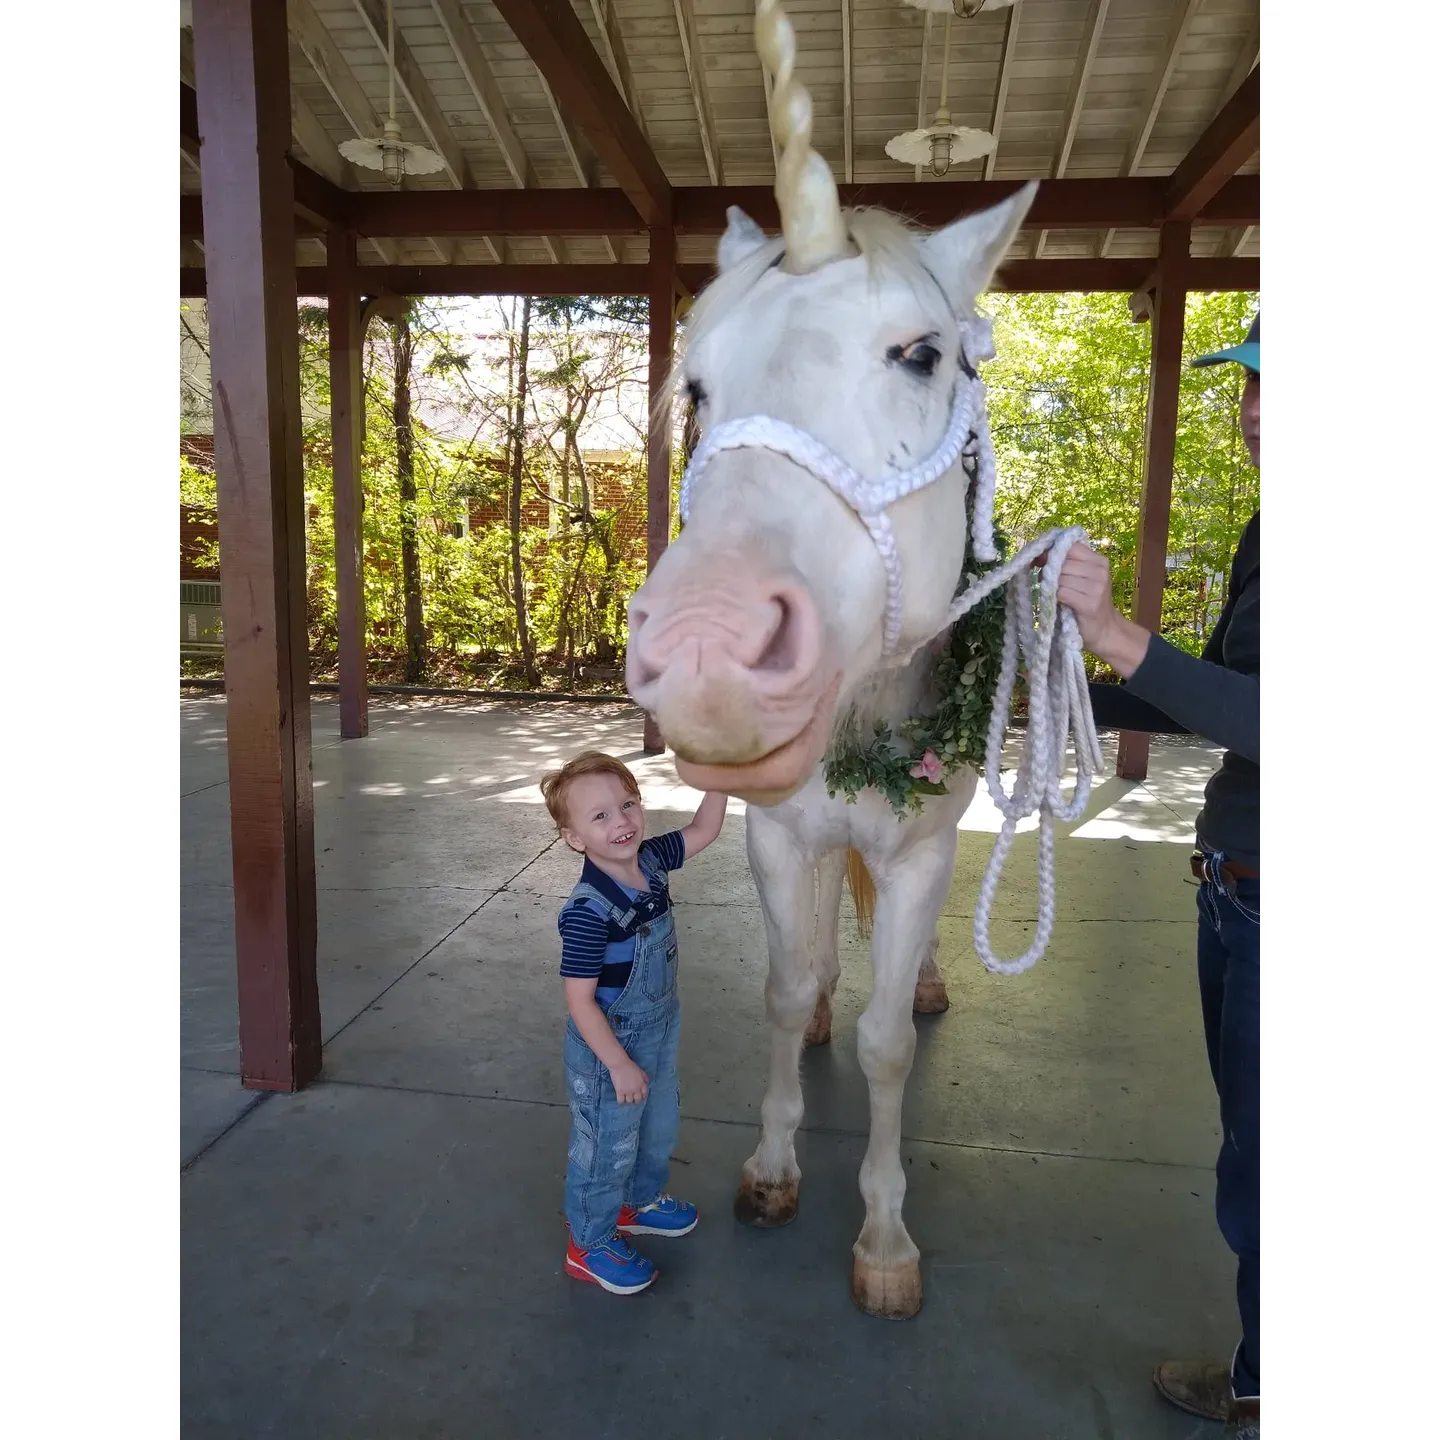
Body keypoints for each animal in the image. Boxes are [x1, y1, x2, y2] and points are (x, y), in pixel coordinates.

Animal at [627, 0, 1088, 1319]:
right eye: (695, 380)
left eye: (923, 354)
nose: (709, 648)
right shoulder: (783, 834)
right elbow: (785, 992)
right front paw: (775, 1163)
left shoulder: (923, 845)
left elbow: (889, 1043)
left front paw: (884, 1236)